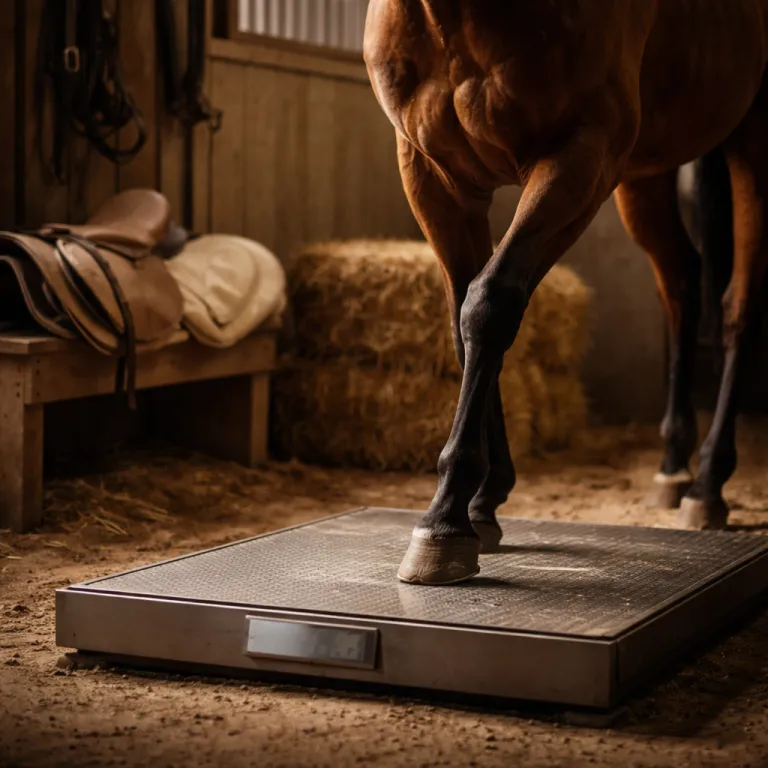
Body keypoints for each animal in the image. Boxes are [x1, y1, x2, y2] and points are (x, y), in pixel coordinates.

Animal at [362, 0, 768, 585]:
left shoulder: (579, 157)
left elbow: (488, 306)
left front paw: (445, 520)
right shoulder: (434, 177)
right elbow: (463, 329)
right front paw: (482, 501)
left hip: (753, 146)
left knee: (738, 306)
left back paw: (709, 483)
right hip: (647, 171)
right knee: (682, 285)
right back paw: (673, 468)